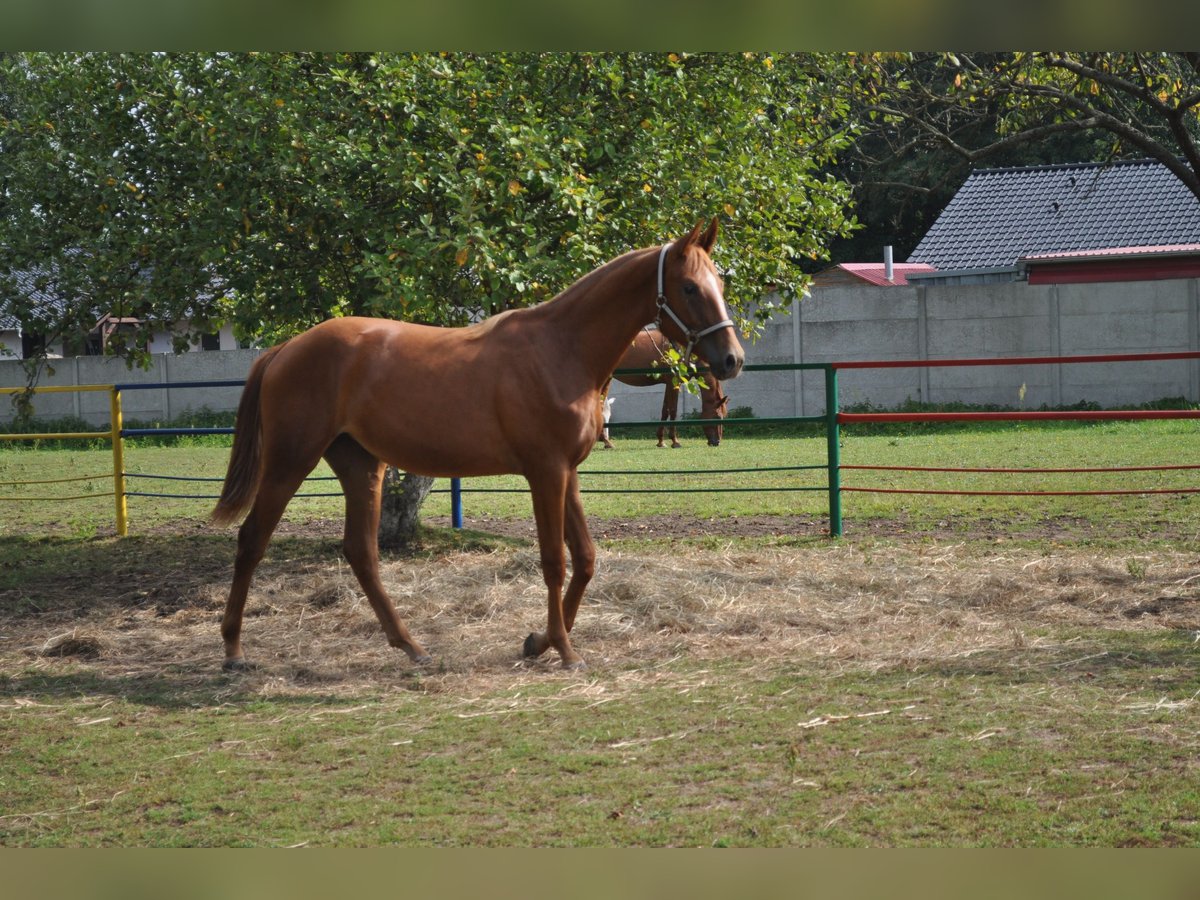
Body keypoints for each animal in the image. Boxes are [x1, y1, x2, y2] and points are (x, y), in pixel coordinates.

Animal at [213, 218, 739, 672]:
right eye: (689, 287)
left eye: (720, 283)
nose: (732, 359)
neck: (560, 349)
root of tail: (285, 348)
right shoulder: (546, 471)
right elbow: (555, 561)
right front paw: (565, 650)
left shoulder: (567, 471)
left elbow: (586, 559)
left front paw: (538, 641)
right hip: (289, 461)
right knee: (252, 539)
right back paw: (234, 649)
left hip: (361, 465)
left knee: (361, 552)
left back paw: (411, 646)